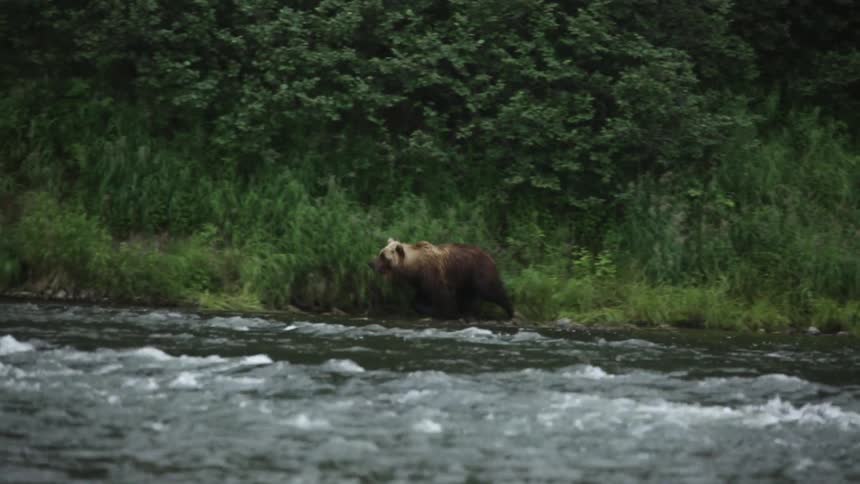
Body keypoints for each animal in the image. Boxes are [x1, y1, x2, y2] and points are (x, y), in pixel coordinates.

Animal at [368, 238, 514, 320]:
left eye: (383, 256)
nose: (371, 263)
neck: (415, 267)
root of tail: (490, 256)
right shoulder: (421, 281)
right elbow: (418, 299)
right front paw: (426, 309)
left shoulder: (433, 274)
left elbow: (442, 296)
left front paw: (448, 313)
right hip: (466, 278)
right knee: (468, 296)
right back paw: (469, 312)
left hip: (478, 271)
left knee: (491, 290)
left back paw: (510, 310)